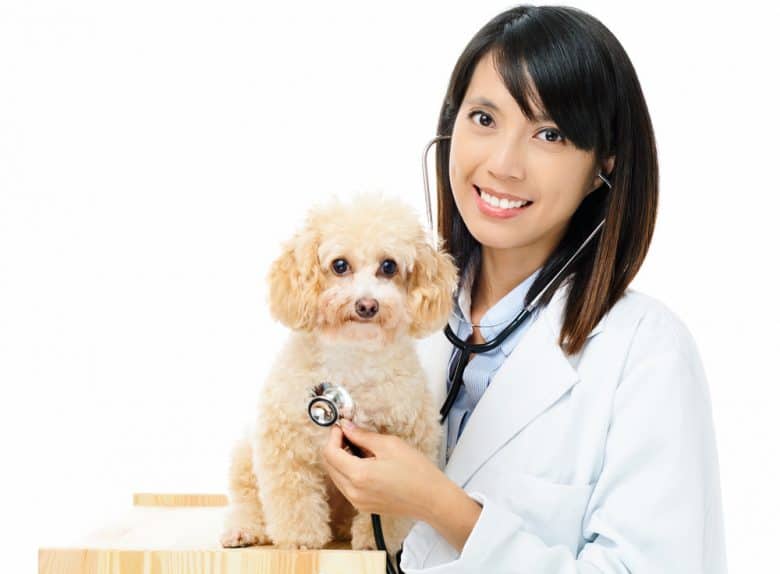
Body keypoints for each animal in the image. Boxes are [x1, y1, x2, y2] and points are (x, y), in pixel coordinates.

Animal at [219, 194, 458, 560]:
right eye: (340, 265)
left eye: (389, 266)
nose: (367, 305)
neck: (351, 355)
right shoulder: (283, 442)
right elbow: (293, 496)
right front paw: (301, 539)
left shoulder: (409, 436)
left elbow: (388, 513)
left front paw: (375, 541)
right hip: (246, 454)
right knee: (247, 500)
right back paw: (244, 529)